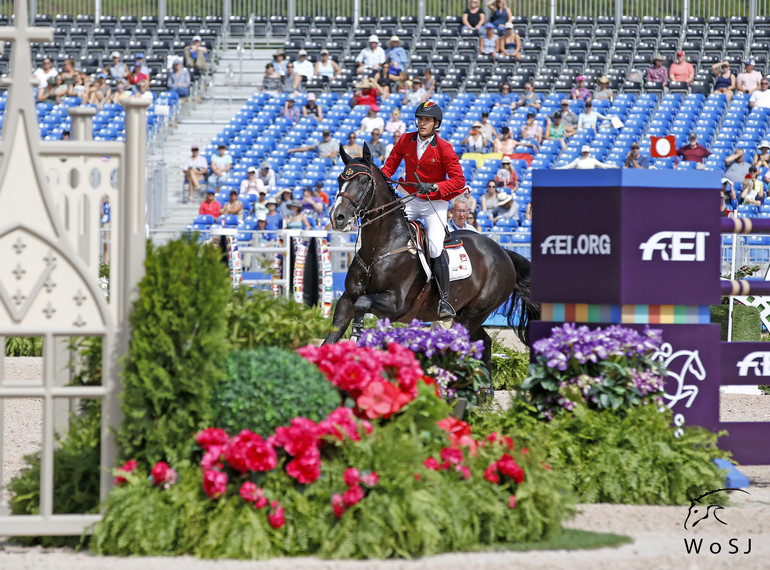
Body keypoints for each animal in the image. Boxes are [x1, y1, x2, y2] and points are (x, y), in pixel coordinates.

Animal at [320, 141, 536, 364]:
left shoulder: (395, 304)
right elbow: (330, 339)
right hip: (465, 314)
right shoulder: (346, 300)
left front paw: (358, 332)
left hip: (474, 313)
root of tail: (502, 251)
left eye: (363, 180)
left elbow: (363, 303)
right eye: (339, 179)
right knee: (484, 342)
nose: (337, 217)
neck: (379, 247)